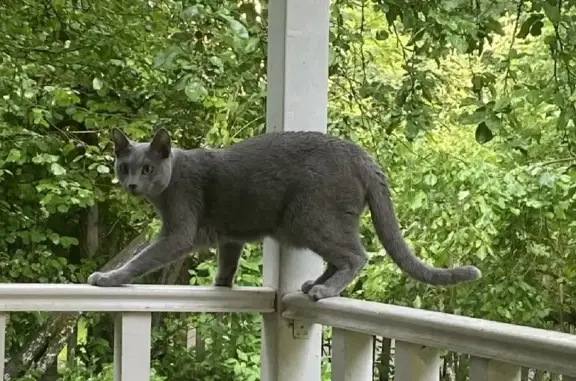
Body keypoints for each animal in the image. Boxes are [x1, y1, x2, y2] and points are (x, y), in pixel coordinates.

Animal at [86, 127, 482, 300]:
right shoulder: (229, 233)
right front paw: (221, 284)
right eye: (124, 167)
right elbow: (228, 258)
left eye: (148, 169)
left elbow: (143, 259)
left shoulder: (179, 229)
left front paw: (108, 278)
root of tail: (363, 157)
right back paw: (314, 284)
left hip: (310, 216)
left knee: (356, 255)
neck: (168, 189)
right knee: (340, 256)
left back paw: (325, 291)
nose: (132, 184)